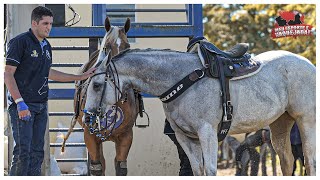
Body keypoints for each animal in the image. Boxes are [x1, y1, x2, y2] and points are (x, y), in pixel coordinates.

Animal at [61, 16, 140, 176]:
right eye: (107, 47)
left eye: (128, 46)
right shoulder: (90, 136)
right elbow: (97, 167)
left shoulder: (126, 136)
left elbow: (120, 166)